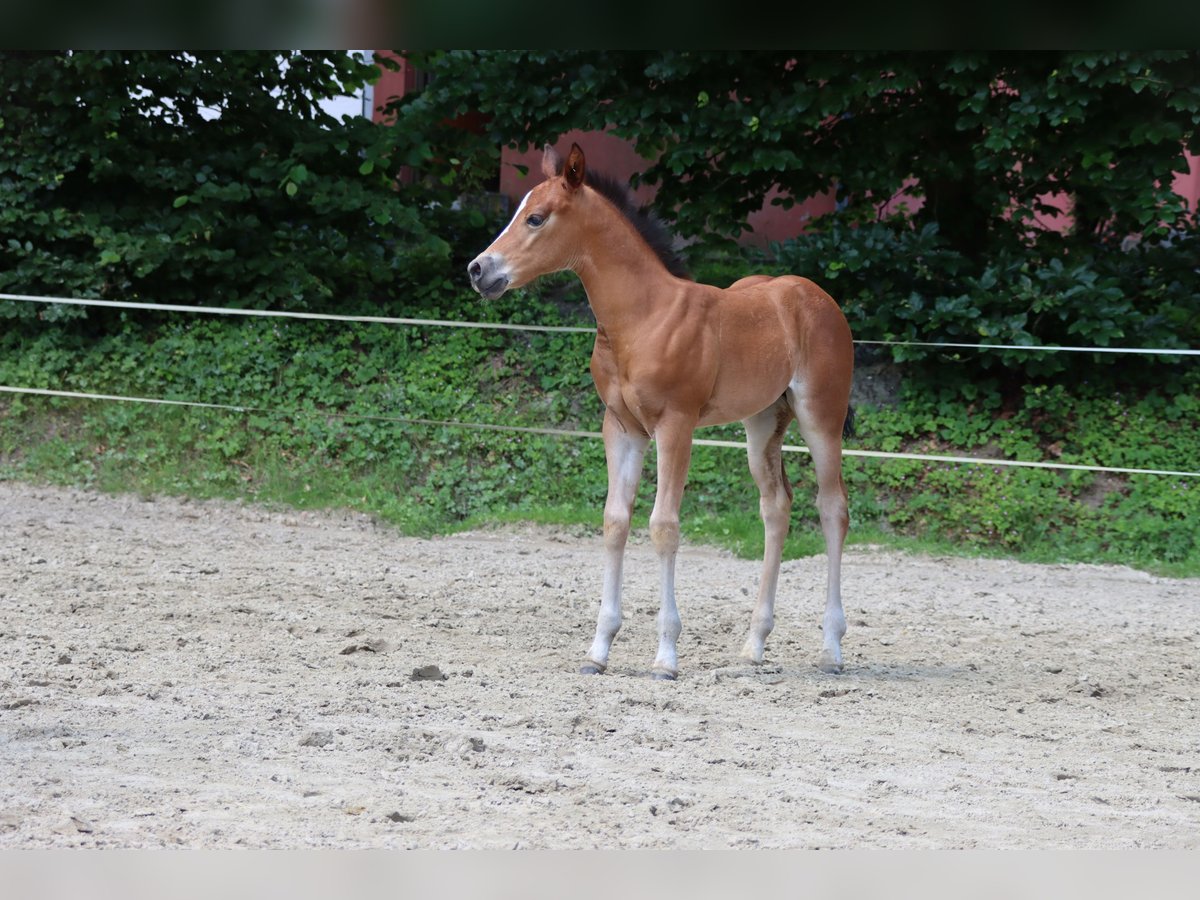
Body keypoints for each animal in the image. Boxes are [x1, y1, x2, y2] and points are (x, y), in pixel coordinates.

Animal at [468, 141, 854, 681]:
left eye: (536, 218)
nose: (479, 270)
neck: (642, 318)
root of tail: (817, 298)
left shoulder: (676, 425)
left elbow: (663, 526)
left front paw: (666, 657)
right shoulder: (621, 428)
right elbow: (615, 521)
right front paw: (598, 651)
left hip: (822, 417)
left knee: (832, 508)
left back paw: (831, 648)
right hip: (761, 424)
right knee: (776, 508)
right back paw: (754, 644)